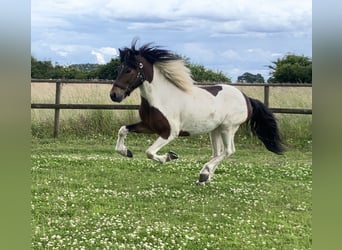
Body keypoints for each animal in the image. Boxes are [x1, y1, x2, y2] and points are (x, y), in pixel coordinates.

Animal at [109, 40, 284, 184]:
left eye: (129, 70)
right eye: (119, 68)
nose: (114, 95)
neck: (161, 98)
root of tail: (246, 98)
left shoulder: (170, 132)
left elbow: (149, 152)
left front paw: (170, 156)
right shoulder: (149, 126)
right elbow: (122, 130)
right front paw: (126, 152)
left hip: (228, 128)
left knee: (228, 151)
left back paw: (204, 173)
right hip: (215, 130)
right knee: (217, 152)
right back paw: (205, 178)